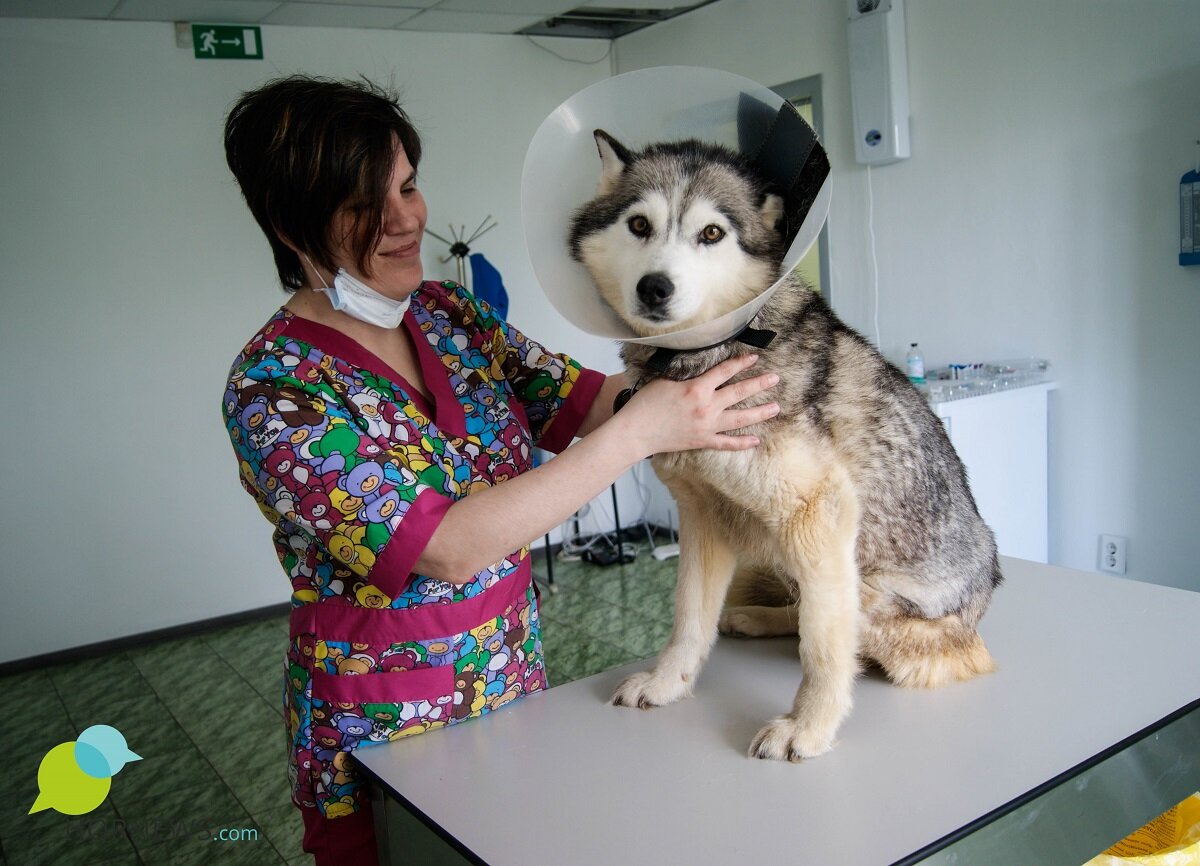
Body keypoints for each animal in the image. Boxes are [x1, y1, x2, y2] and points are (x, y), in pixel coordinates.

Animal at [566, 128, 998, 758]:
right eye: (639, 225)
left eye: (711, 233)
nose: (655, 288)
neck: (715, 353)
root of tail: (988, 592)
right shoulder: (703, 517)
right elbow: (688, 618)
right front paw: (668, 683)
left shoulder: (821, 512)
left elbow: (821, 649)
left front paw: (809, 729)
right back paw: (750, 617)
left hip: (870, 590)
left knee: (861, 638)